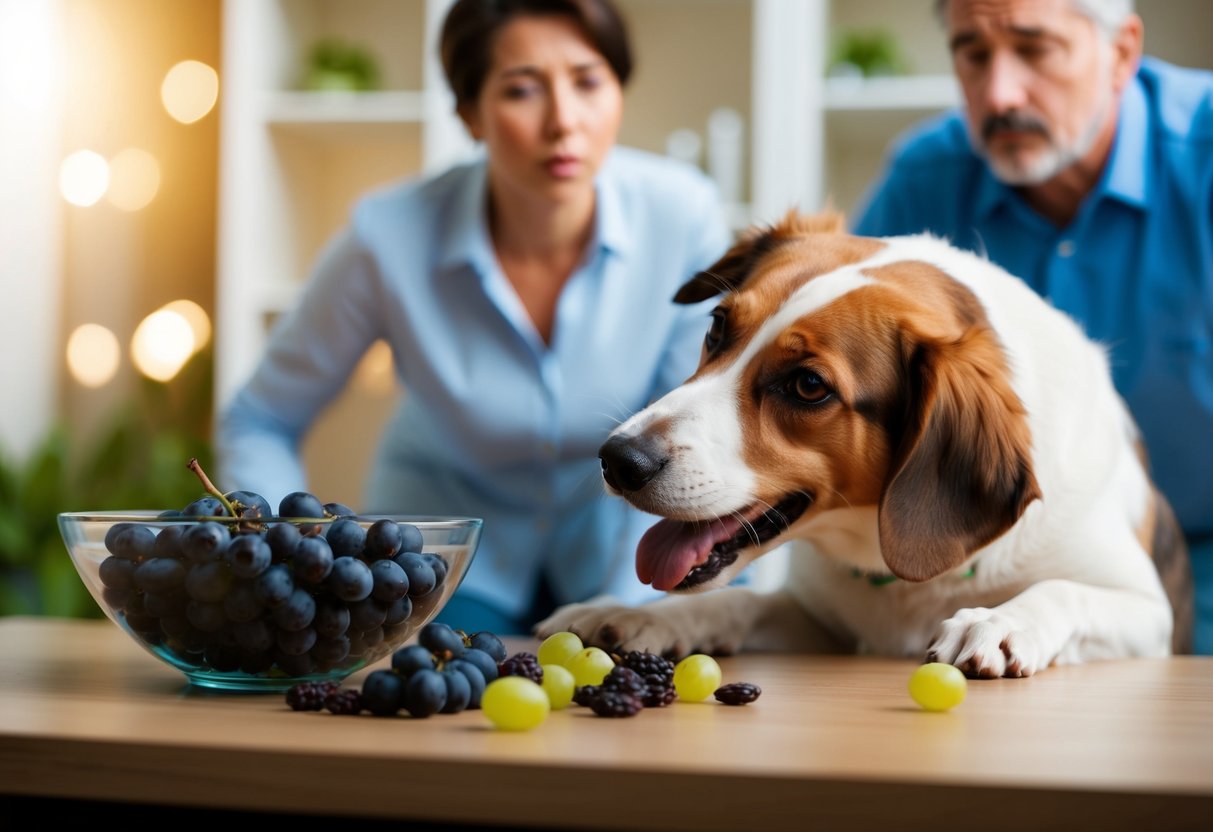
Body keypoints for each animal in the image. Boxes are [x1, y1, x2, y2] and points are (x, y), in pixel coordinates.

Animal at [536, 209, 1188, 679]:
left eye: (807, 385)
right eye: (718, 327)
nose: (618, 459)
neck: (898, 575)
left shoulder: (1149, 614)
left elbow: (1062, 592)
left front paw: (1001, 621)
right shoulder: (821, 624)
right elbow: (735, 602)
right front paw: (632, 613)